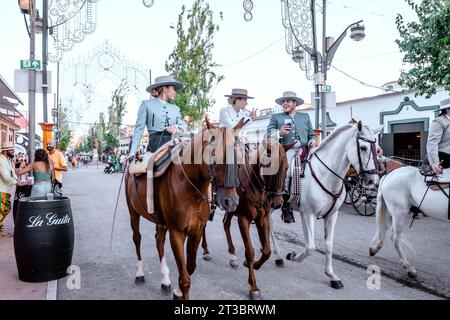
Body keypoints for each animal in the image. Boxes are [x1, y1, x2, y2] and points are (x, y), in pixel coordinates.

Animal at [125, 117, 244, 300]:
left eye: (238, 159)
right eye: (215, 157)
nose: (231, 202)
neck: (189, 188)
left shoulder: (197, 231)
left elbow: (190, 268)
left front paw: (177, 291)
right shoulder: (177, 233)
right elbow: (185, 279)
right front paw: (181, 291)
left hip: (161, 221)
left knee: (159, 240)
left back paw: (165, 280)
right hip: (133, 213)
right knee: (137, 238)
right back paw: (140, 273)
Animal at [270, 121, 380, 288]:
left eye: (377, 149)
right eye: (363, 147)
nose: (373, 181)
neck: (326, 174)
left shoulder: (332, 215)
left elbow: (328, 245)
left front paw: (332, 275)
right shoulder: (307, 214)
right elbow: (310, 247)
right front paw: (293, 255)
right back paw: (277, 256)